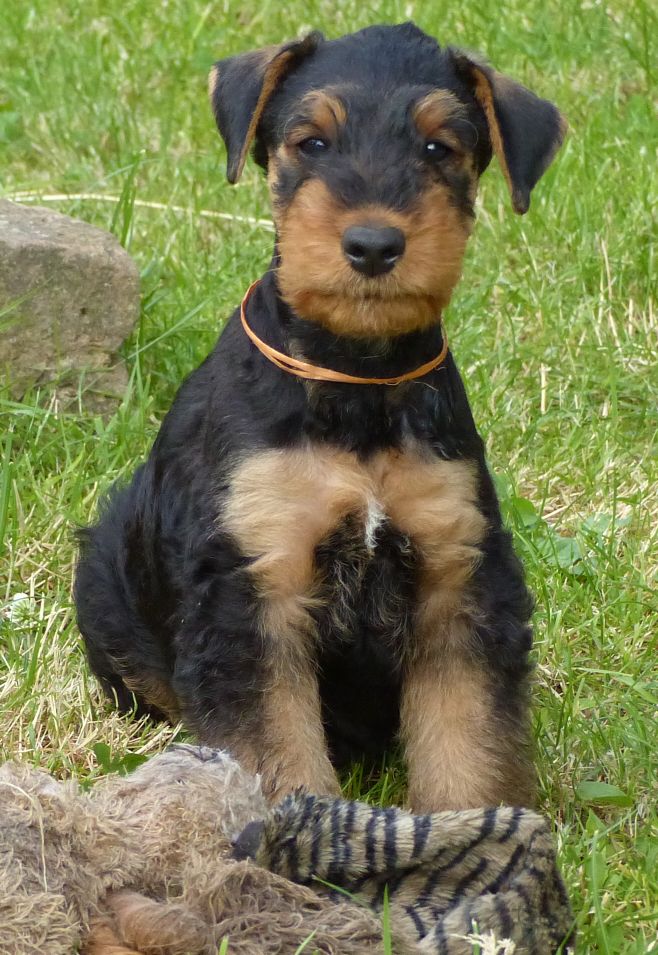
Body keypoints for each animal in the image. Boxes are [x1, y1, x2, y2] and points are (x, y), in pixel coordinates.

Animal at [75, 22, 565, 812]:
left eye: (439, 147)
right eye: (312, 142)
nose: (373, 245)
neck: (357, 377)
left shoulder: (457, 573)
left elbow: (467, 737)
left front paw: (468, 829)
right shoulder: (256, 580)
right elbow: (277, 743)